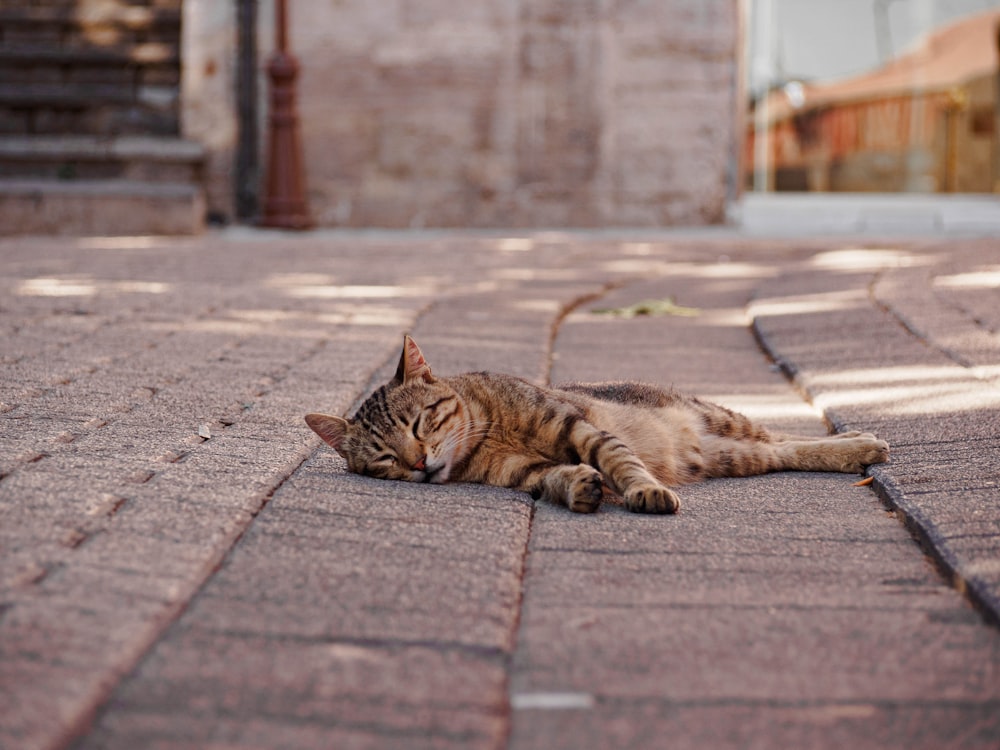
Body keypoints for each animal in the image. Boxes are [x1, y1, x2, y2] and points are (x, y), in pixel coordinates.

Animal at [306, 336, 892, 516]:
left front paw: (642, 491)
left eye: (421, 422)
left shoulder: (576, 427)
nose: (420, 464)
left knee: (790, 438)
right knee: (784, 453)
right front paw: (578, 486)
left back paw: (859, 443)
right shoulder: (519, 472)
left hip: (724, 419)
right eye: (384, 459)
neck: (484, 434)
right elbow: (552, 478)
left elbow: (620, 460)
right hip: (737, 456)